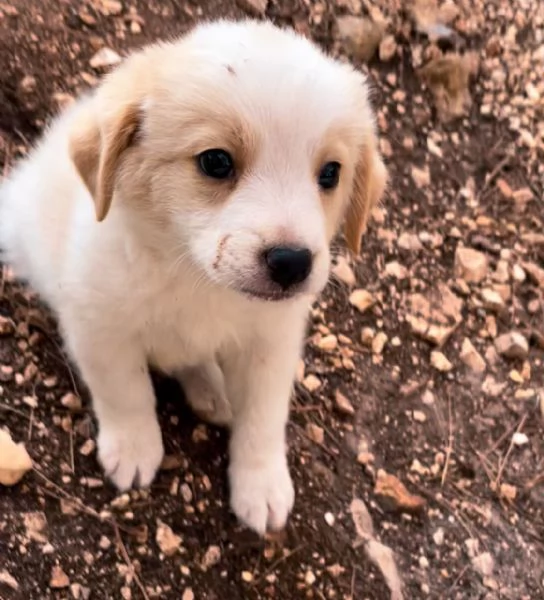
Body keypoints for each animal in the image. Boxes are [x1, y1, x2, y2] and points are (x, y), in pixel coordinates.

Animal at [0, 18, 386, 536]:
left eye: (330, 173)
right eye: (216, 161)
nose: (292, 263)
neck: (195, 278)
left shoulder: (271, 346)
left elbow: (263, 420)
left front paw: (262, 485)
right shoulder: (99, 328)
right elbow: (126, 391)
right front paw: (135, 448)